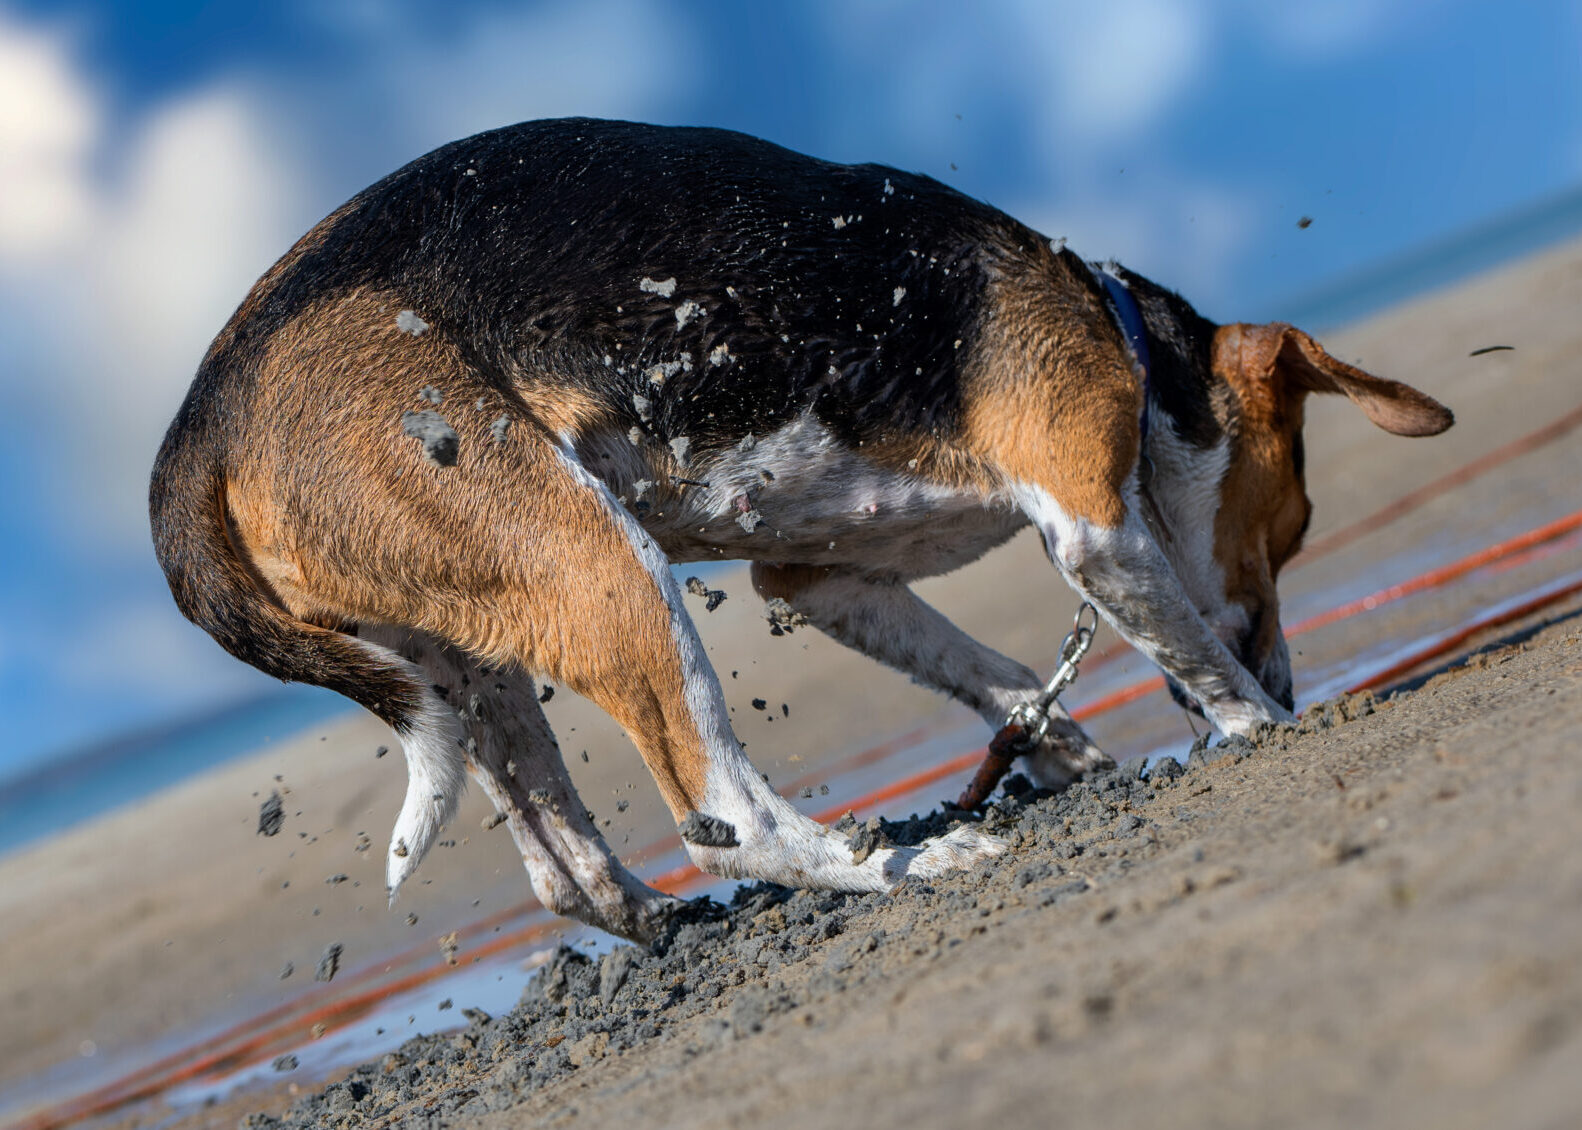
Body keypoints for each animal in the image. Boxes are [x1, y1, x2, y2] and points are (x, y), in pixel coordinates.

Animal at [154, 116, 1449, 943]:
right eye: (1297, 527)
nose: (1294, 675)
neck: (1121, 331)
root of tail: (199, 429)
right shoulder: (1094, 529)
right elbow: (1193, 654)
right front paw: (1260, 724)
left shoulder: (821, 580)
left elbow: (993, 669)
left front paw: (1060, 751)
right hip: (602, 567)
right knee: (725, 822)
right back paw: (906, 860)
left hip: (465, 652)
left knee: (562, 859)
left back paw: (657, 919)